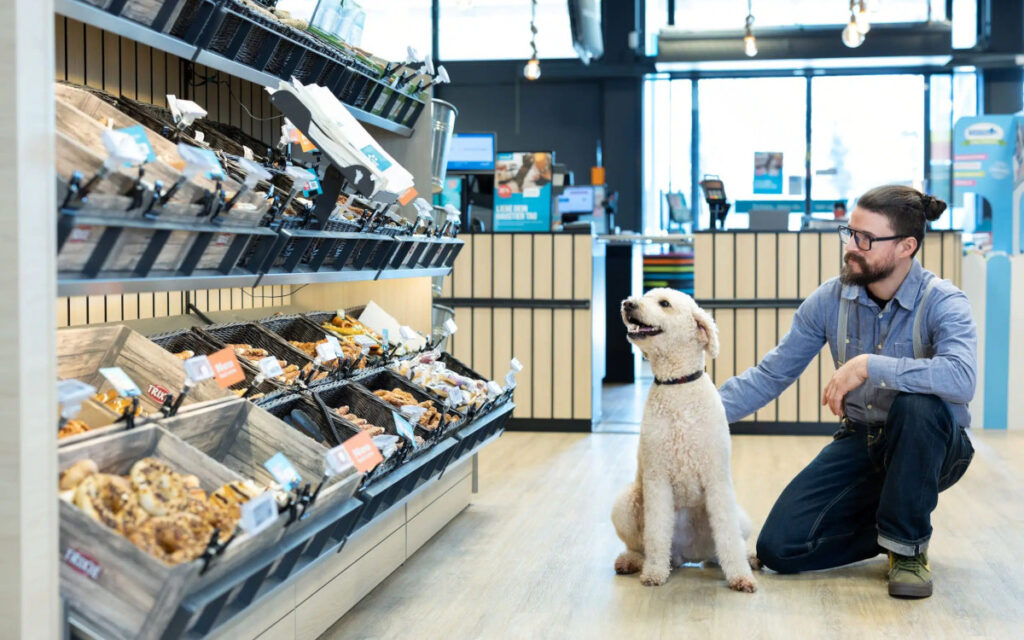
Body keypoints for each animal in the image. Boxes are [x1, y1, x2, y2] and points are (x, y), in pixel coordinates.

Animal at [606, 286, 761, 589]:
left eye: (664, 303)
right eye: (644, 296)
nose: (628, 304)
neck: (677, 386)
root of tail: (687, 556)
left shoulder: (717, 480)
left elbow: (728, 537)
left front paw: (740, 576)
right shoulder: (657, 480)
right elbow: (656, 533)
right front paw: (654, 573)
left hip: (741, 518)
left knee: (725, 548)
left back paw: (748, 558)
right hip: (624, 504)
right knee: (641, 547)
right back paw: (633, 562)